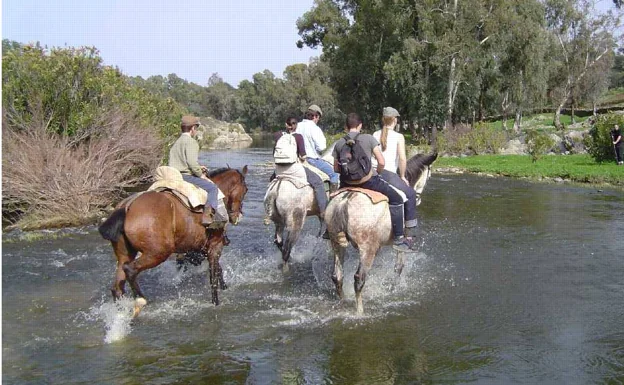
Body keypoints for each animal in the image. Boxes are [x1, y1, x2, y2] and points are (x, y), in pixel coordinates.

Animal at [98, 166, 247, 316]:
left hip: (125, 254)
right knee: (130, 269)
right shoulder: (215, 246)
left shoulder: (202, 249)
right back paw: (140, 301)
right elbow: (213, 276)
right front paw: (216, 302)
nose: (237, 216)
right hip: (158, 253)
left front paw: (224, 287)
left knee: (117, 286)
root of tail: (127, 207)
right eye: (245, 190)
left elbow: (218, 270)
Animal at [324, 152, 436, 314]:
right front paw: (394, 287)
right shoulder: (402, 239)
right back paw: (360, 311)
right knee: (359, 279)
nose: (418, 198)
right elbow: (398, 267)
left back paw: (343, 301)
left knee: (337, 275)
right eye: (429, 175)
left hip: (336, 243)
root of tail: (345, 202)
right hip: (367, 249)